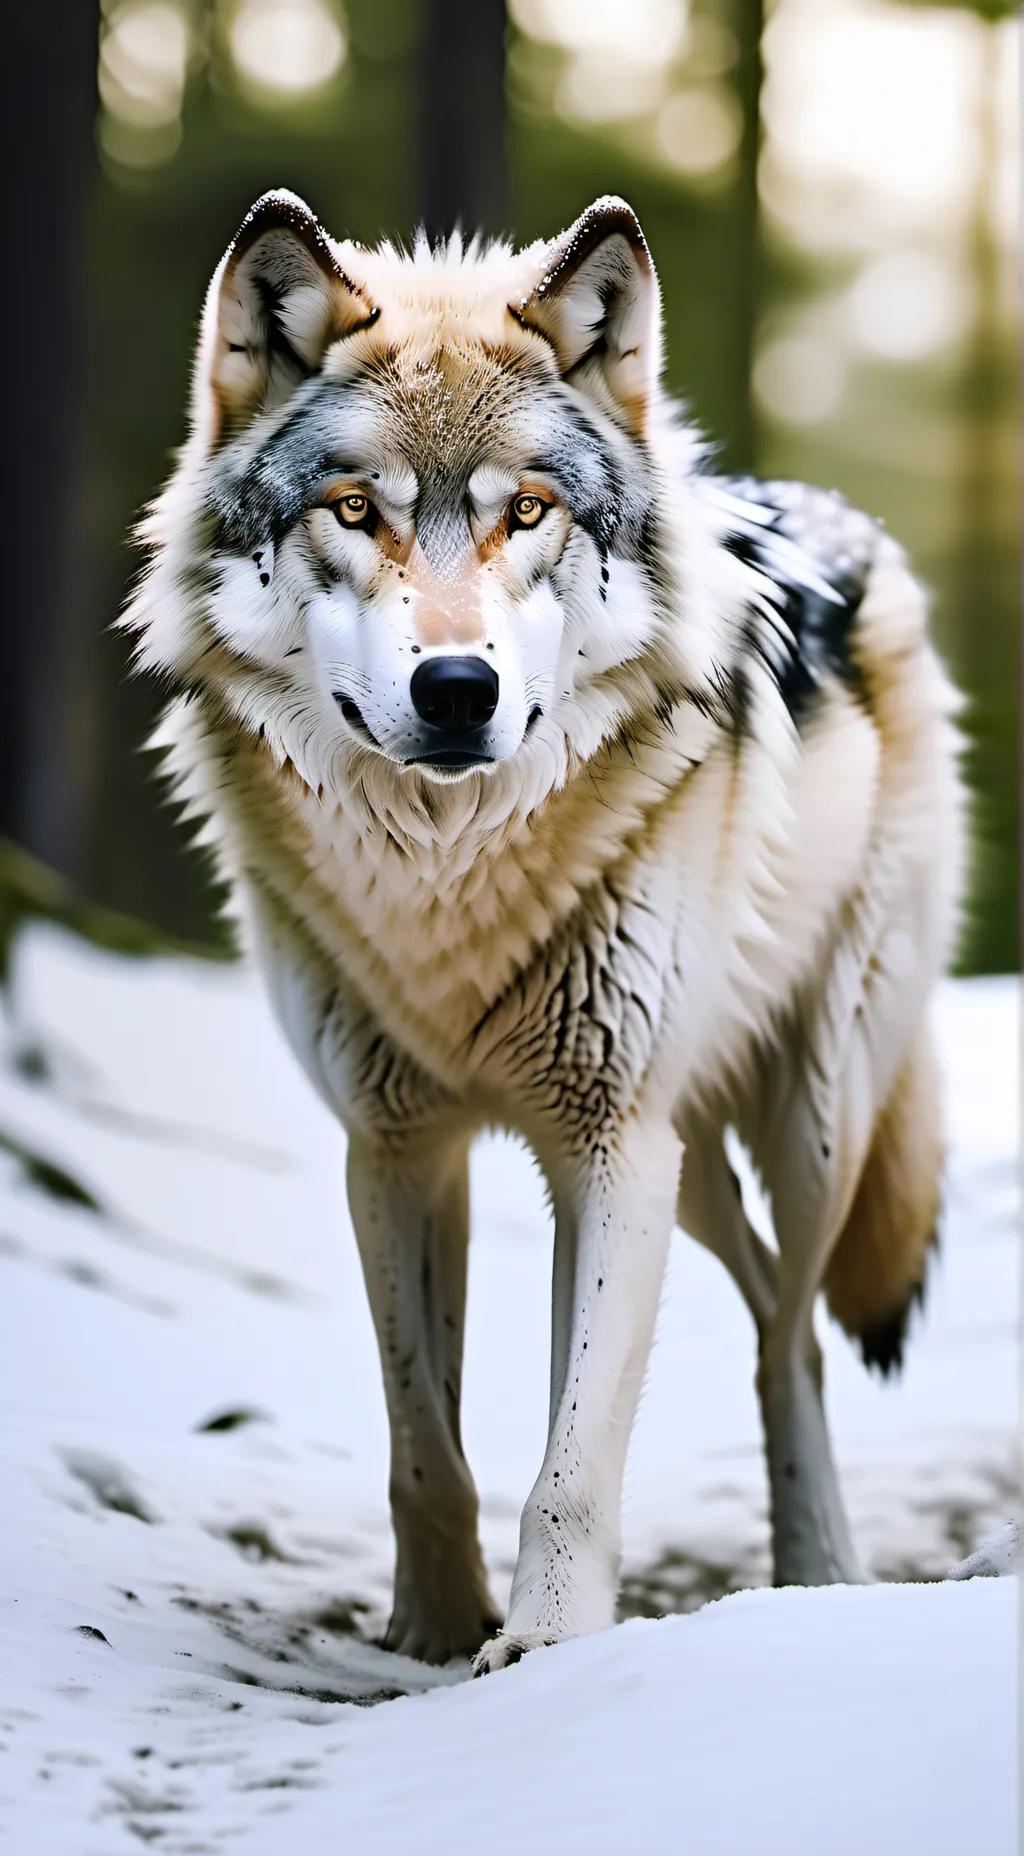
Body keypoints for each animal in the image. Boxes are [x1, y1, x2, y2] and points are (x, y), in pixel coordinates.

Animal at [124, 190, 964, 1672]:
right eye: (357, 511)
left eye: (528, 511)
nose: (457, 690)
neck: (447, 879)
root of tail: (844, 522)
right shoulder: (397, 1146)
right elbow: (424, 1441)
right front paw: (430, 1628)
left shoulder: (607, 1147)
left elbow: (572, 1465)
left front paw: (544, 1654)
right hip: (692, 1158)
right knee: (765, 1299)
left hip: (808, 1118)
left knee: (794, 1330)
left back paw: (818, 1568)